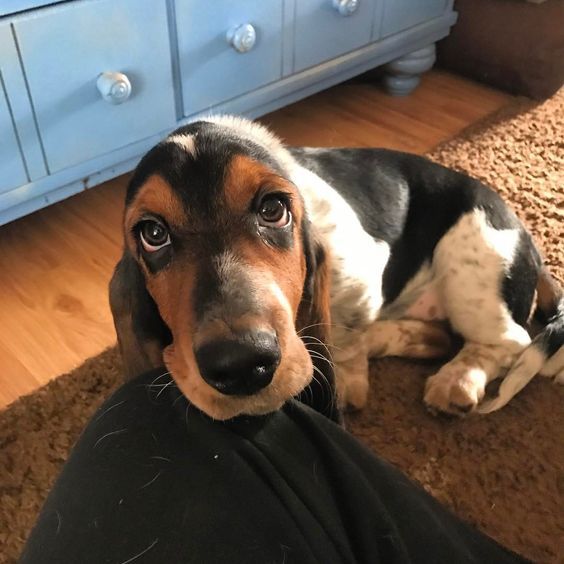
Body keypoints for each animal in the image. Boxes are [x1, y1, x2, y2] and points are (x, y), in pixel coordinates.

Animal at [108, 117, 560, 420]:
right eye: (152, 233)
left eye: (273, 208)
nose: (240, 364)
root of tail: (528, 238)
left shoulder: (361, 277)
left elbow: (345, 336)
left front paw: (345, 385)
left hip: (471, 262)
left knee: (509, 340)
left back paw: (457, 380)